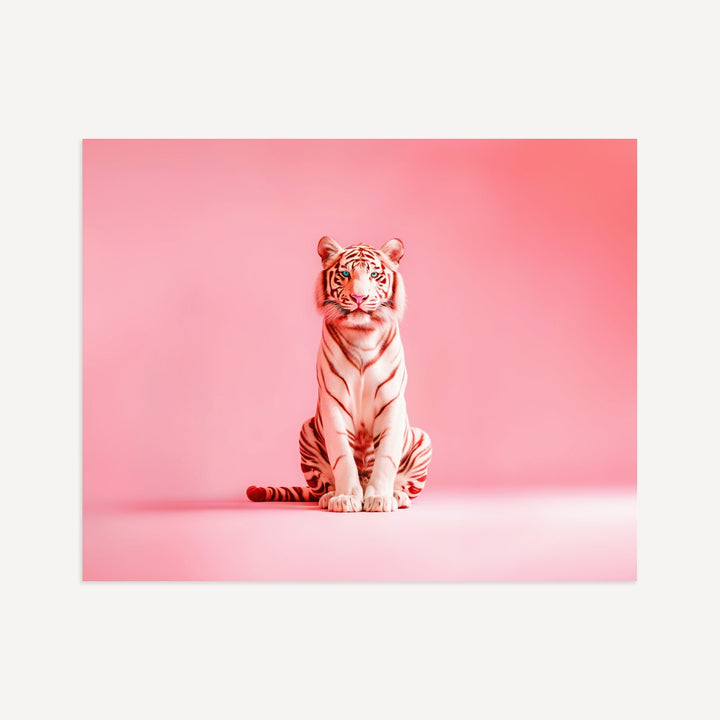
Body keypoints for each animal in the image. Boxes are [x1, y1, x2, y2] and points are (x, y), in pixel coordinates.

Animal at [246, 236, 431, 512]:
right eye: (345, 274)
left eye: (374, 274)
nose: (359, 297)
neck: (363, 334)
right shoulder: (333, 400)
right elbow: (342, 456)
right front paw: (345, 498)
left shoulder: (391, 402)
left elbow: (387, 456)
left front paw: (380, 498)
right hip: (306, 431)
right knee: (321, 487)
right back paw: (330, 496)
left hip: (422, 438)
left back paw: (397, 496)